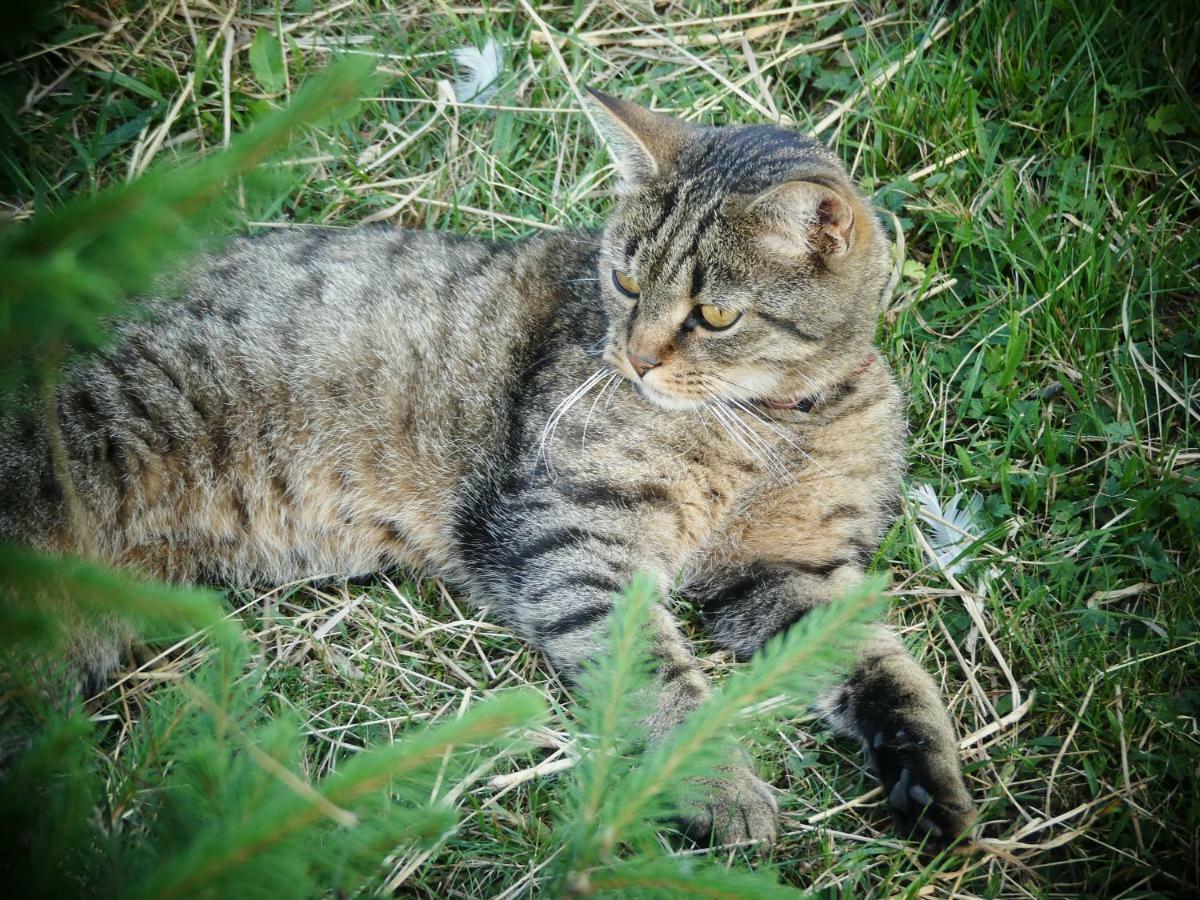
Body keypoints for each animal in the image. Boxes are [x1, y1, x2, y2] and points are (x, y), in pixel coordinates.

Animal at [0, 90, 974, 844]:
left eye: (715, 315)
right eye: (625, 283)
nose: (635, 359)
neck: (776, 421)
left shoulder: (790, 570)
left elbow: (891, 670)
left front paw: (933, 781)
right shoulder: (573, 535)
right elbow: (655, 676)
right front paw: (717, 782)